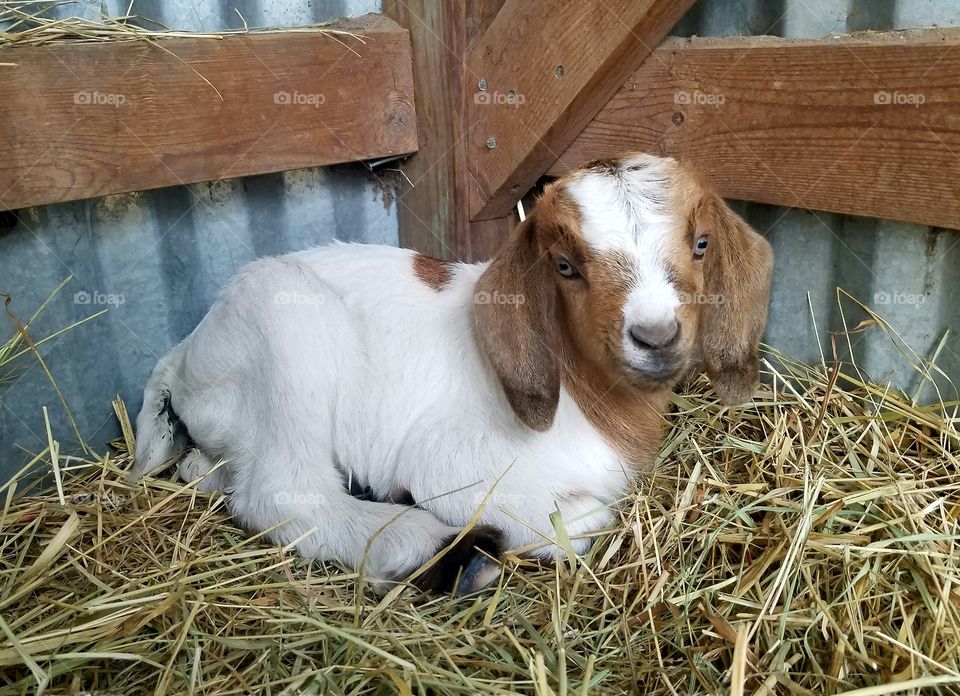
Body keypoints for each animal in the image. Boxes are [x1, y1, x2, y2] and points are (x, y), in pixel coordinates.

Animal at [127, 152, 776, 592]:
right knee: (282, 493)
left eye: (701, 244)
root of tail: (184, 353)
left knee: (212, 472)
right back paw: (439, 551)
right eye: (565, 266)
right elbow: (579, 516)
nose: (656, 335)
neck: (587, 399)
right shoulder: (449, 460)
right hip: (286, 336)